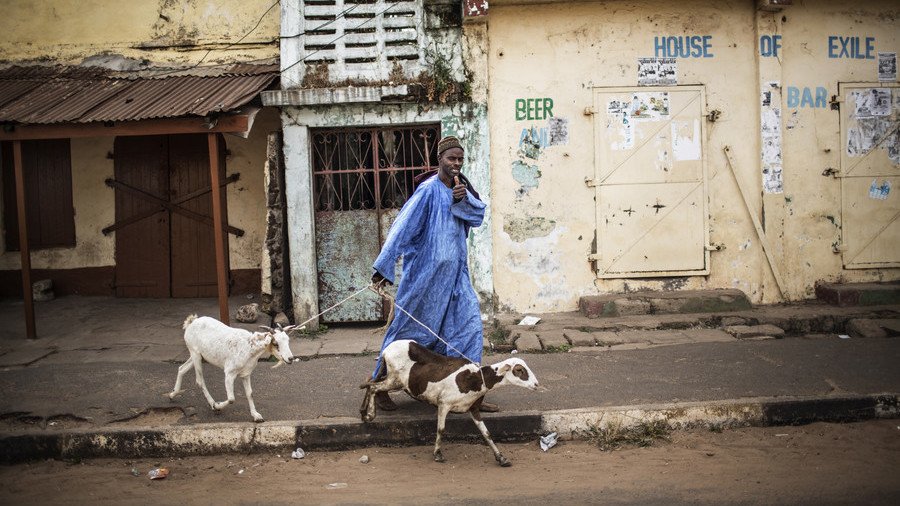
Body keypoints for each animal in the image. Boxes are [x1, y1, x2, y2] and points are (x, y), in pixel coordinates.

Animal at [165, 316, 298, 422]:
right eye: (275, 343)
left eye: (287, 340)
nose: (290, 358)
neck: (249, 347)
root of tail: (191, 322)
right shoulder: (229, 373)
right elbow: (231, 399)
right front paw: (217, 406)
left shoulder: (245, 375)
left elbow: (250, 393)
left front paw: (256, 416)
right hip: (195, 354)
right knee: (199, 380)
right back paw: (212, 404)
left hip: (198, 356)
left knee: (181, 368)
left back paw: (172, 395)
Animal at [360, 340, 540, 466]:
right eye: (519, 370)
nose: (537, 384)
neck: (476, 378)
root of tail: (386, 350)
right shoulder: (444, 403)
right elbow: (441, 429)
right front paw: (438, 454)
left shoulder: (473, 408)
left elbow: (487, 434)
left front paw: (501, 458)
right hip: (395, 379)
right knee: (374, 386)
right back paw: (369, 415)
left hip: (393, 378)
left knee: (370, 383)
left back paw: (363, 412)